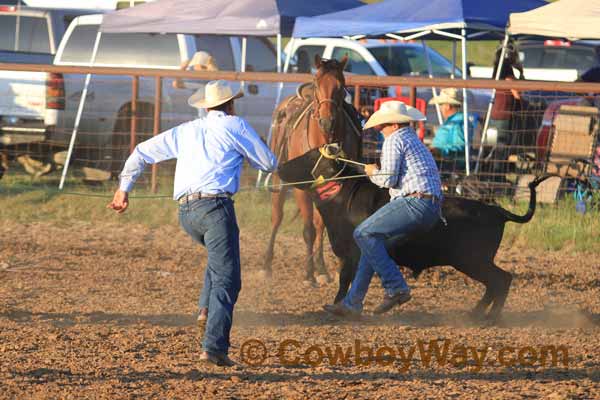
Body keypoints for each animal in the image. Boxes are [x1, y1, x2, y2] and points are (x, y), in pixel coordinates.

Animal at [262, 55, 360, 284]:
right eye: (317, 85)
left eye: (341, 86)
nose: (327, 121)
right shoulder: (301, 188)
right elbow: (308, 229)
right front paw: (308, 275)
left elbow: (325, 225)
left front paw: (327, 270)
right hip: (280, 180)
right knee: (277, 216)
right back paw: (267, 265)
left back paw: (321, 268)